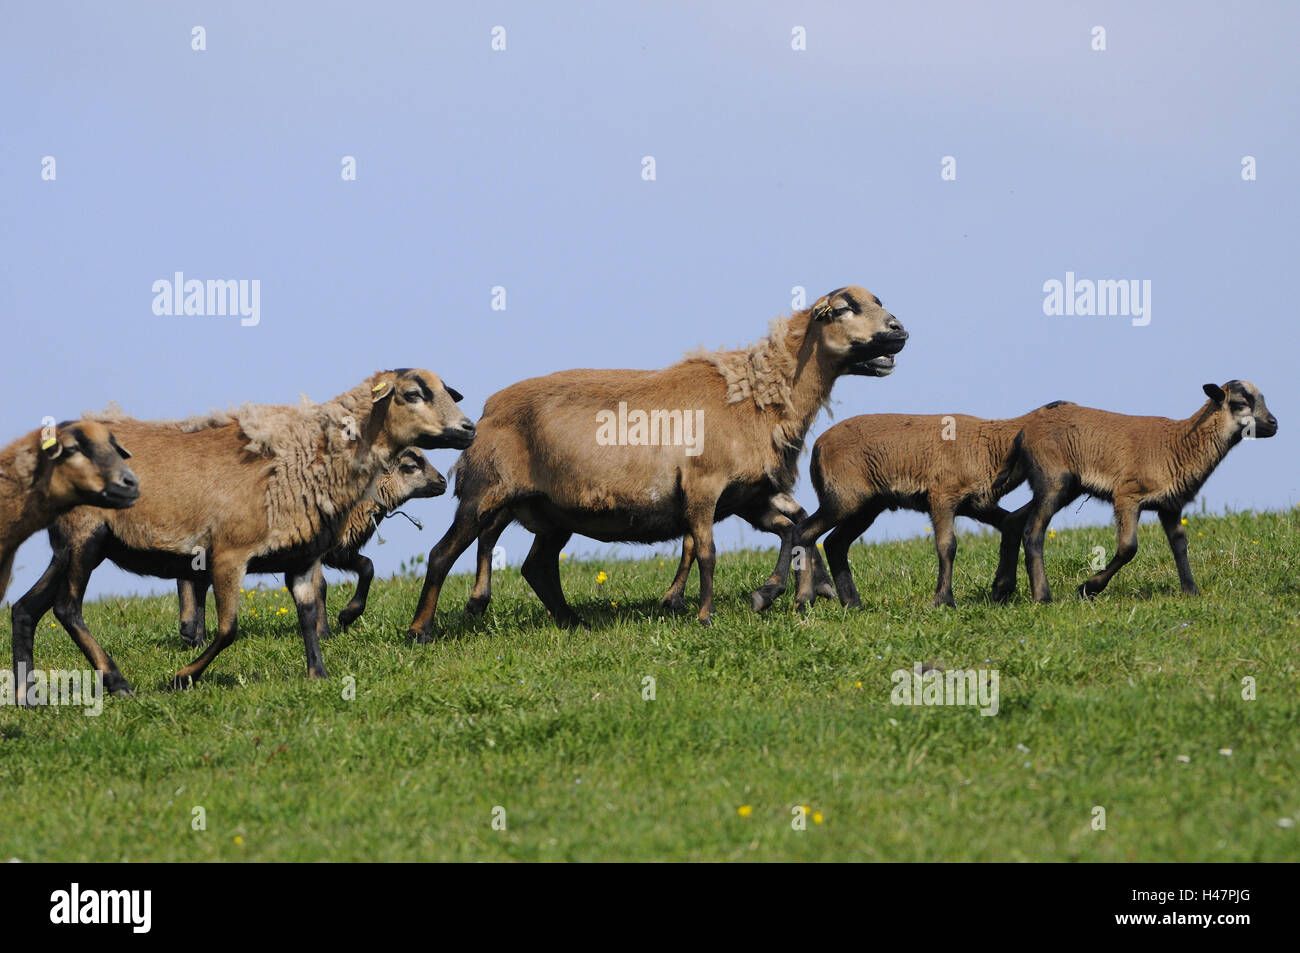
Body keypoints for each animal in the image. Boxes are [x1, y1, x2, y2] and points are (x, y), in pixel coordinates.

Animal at [175, 447, 447, 646]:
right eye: (410, 466)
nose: (443, 482)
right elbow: (320, 588)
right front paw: (324, 632)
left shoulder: (338, 550)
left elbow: (367, 567)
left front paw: (347, 615)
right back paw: (192, 632)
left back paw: (194, 637)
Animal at [405, 285, 908, 639]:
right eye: (843, 308)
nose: (899, 331)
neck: (753, 394)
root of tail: (488, 411)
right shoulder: (705, 486)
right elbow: (707, 551)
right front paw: (705, 615)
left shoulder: (748, 495)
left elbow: (793, 529)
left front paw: (769, 593)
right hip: (485, 493)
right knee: (443, 554)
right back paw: (420, 632)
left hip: (553, 511)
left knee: (538, 567)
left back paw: (572, 623)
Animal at [790, 404, 1074, 610]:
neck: (991, 447)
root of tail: (817, 449)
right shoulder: (941, 496)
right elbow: (947, 546)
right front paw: (943, 601)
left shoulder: (976, 504)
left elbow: (1009, 522)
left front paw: (1001, 588)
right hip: (843, 498)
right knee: (804, 531)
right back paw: (804, 600)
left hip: (866, 507)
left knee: (834, 543)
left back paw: (853, 604)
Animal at [1018, 381, 1277, 602]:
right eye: (1241, 403)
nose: (1274, 423)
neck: (1180, 445)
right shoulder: (1127, 495)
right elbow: (1128, 548)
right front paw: (1087, 588)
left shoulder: (1170, 506)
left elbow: (1180, 545)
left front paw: (1191, 591)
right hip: (1054, 479)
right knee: (1032, 532)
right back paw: (1043, 597)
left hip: (1065, 486)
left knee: (1017, 519)